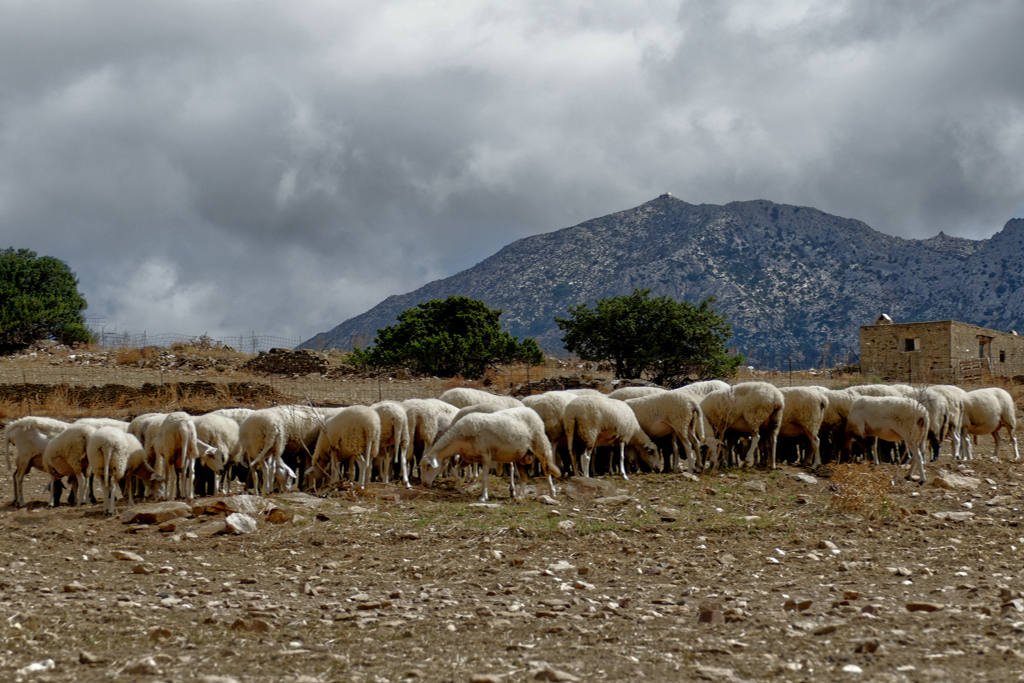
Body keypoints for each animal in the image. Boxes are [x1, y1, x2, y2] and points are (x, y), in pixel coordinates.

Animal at [417, 405, 561, 501]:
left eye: (429, 466)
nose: (424, 484)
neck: (459, 439)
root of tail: (532, 411)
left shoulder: (486, 456)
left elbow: (485, 477)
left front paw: (483, 497)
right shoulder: (469, 458)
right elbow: (456, 471)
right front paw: (462, 490)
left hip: (540, 445)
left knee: (546, 470)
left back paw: (552, 492)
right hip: (520, 455)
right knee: (524, 477)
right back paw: (520, 496)